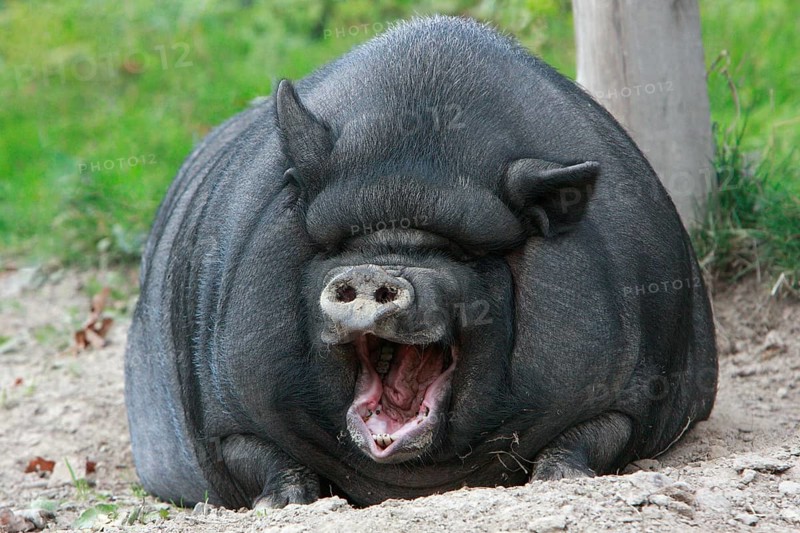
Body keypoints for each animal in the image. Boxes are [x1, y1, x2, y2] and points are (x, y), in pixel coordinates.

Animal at [125, 16, 717, 509]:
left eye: (462, 254)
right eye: (341, 245)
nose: (371, 273)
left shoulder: (632, 391)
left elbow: (597, 434)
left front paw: (558, 480)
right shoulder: (225, 413)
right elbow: (255, 453)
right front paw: (281, 504)